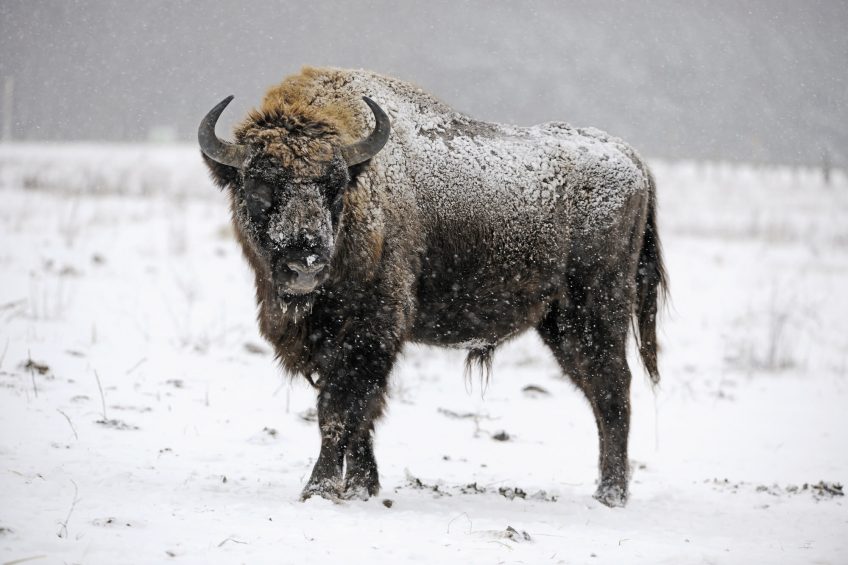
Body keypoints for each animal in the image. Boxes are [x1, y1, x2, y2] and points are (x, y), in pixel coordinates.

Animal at [199, 67, 666, 507]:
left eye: (334, 187)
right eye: (259, 187)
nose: (305, 265)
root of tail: (634, 161)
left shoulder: (370, 335)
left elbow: (341, 409)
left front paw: (320, 489)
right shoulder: (330, 342)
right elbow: (361, 414)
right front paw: (362, 487)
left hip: (594, 312)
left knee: (611, 389)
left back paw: (610, 495)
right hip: (560, 322)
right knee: (603, 390)